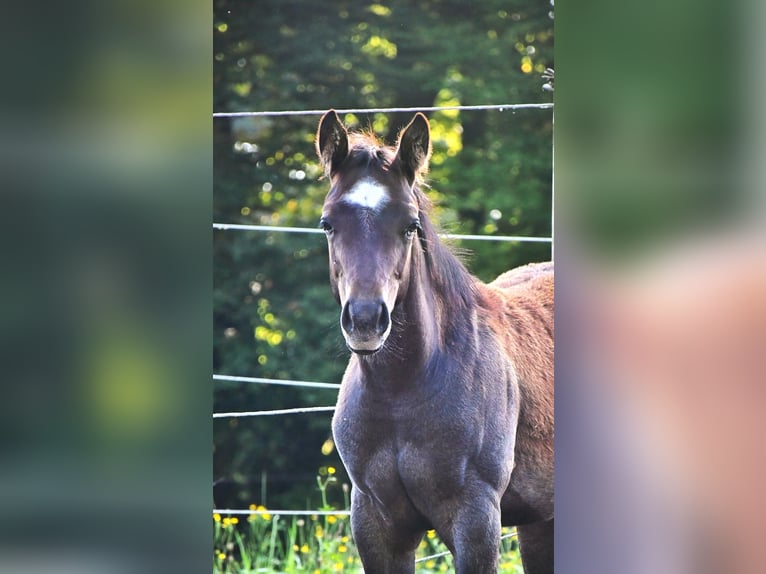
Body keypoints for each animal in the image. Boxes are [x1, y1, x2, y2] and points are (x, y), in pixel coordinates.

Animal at [315, 110, 554, 573]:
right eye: (328, 223)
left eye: (410, 225)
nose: (366, 321)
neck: (401, 389)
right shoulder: (375, 522)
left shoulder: (475, 520)